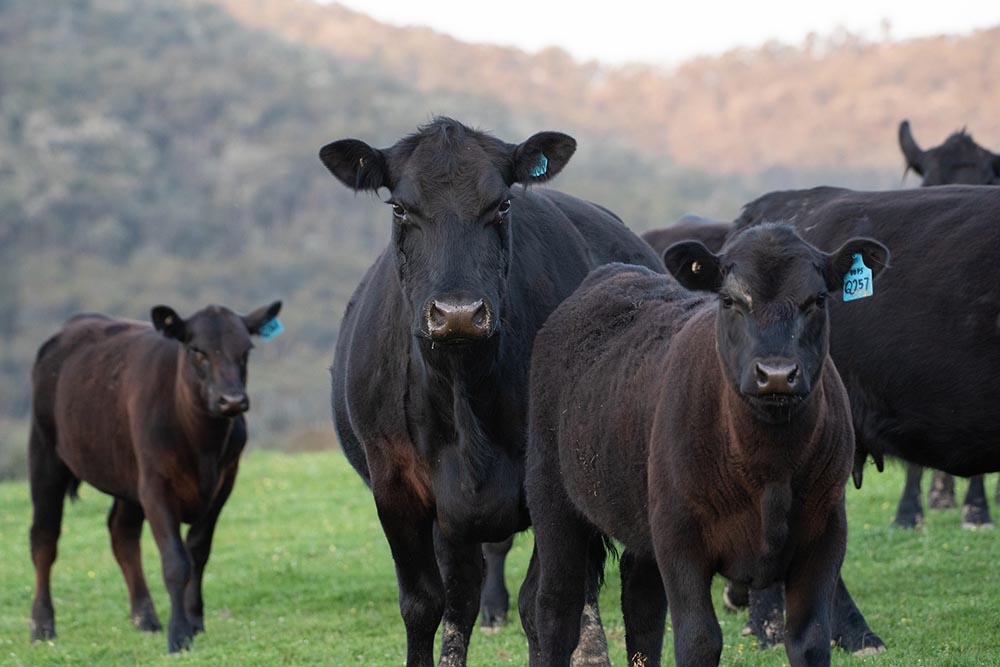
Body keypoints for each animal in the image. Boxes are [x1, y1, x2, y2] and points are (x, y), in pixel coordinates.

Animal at [30, 302, 282, 652]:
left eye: (246, 350)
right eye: (197, 350)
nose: (232, 400)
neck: (203, 445)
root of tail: (73, 325)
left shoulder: (223, 484)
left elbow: (198, 552)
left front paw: (194, 621)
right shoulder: (155, 486)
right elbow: (176, 561)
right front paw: (179, 635)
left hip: (126, 474)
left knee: (122, 534)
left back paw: (145, 618)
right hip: (45, 454)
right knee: (44, 539)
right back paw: (42, 626)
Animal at [322, 118, 664, 667]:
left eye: (502, 204)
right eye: (399, 207)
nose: (458, 313)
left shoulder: (550, 486)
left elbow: (542, 606)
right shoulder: (395, 485)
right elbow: (425, 603)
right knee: (462, 595)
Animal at [520, 224, 888, 667]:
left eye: (817, 299)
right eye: (730, 300)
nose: (776, 374)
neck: (770, 469)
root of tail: (610, 275)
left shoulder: (825, 533)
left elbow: (811, 638)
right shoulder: (680, 537)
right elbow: (699, 640)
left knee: (641, 604)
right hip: (551, 496)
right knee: (556, 605)